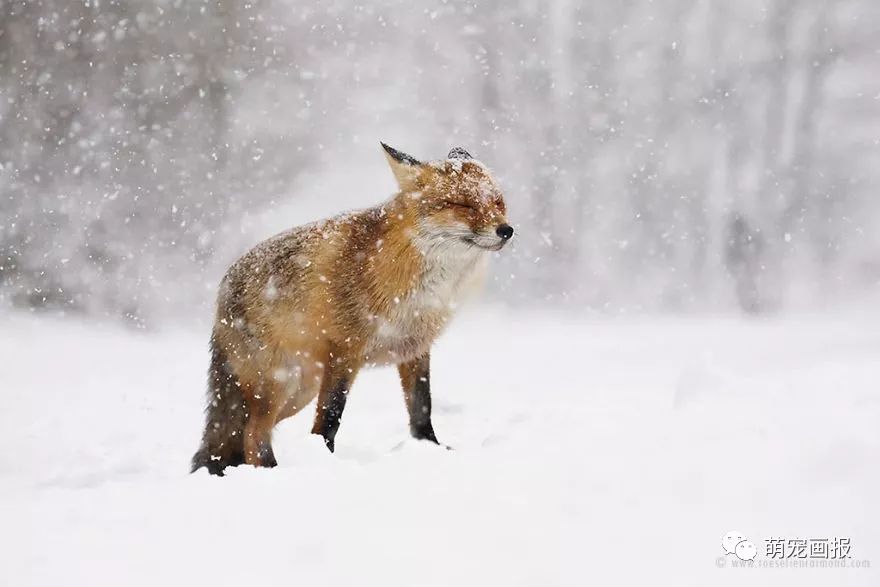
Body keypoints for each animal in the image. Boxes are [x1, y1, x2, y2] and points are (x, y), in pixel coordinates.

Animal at [189, 144, 512, 478]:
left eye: (497, 202)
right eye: (463, 205)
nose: (506, 230)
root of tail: (221, 292)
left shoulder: (415, 348)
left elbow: (422, 408)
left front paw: (430, 448)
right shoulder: (344, 351)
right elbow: (330, 417)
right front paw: (326, 460)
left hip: (299, 391)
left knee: (246, 436)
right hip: (280, 383)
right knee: (253, 434)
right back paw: (272, 471)